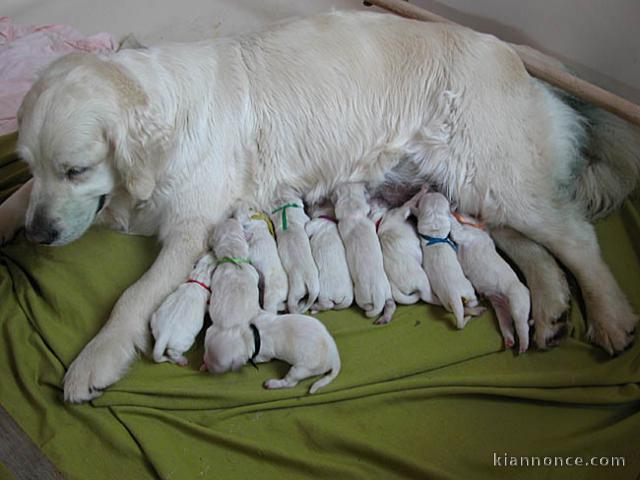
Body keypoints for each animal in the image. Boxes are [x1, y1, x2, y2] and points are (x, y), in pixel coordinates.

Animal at [201, 312, 340, 394]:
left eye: (217, 365)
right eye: (205, 349)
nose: (206, 362)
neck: (247, 336)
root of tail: (335, 358)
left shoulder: (262, 356)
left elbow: (259, 359)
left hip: (302, 369)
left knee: (290, 382)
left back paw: (273, 384)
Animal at [412, 191, 478, 330]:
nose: (432, 191)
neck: (435, 232)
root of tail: (454, 296)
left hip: (444, 300)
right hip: (468, 288)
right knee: (472, 302)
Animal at [448, 214, 532, 352]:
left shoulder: (465, 235)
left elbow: (456, 229)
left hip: (518, 304)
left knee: (523, 326)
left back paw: (523, 347)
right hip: (500, 308)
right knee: (507, 326)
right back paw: (509, 342)